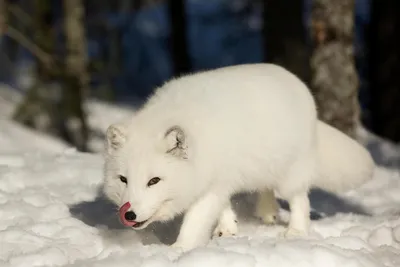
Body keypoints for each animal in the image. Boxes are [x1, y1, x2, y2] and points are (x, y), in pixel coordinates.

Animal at [102, 63, 376, 252]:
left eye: (154, 181)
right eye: (123, 179)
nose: (129, 214)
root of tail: (296, 81)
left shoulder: (212, 186)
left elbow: (194, 222)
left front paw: (179, 250)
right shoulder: (221, 179)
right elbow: (223, 208)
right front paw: (227, 230)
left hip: (291, 174)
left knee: (301, 199)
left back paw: (296, 231)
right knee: (265, 188)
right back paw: (267, 212)